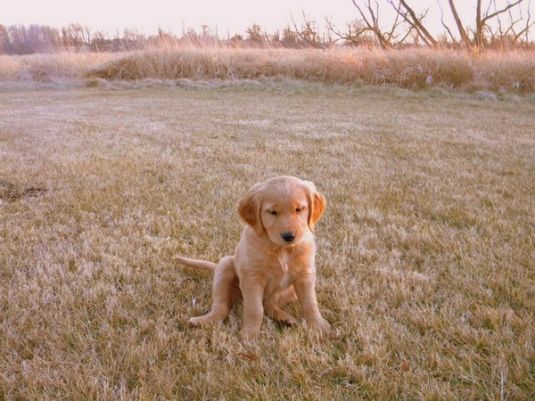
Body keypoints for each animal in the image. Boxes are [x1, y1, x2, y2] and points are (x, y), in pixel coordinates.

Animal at [178, 175, 330, 338]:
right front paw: (249, 333)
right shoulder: (252, 277)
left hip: (290, 292)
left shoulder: (305, 275)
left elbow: (310, 303)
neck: (281, 249)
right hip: (225, 266)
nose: (289, 236)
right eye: (272, 212)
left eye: (299, 209)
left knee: (269, 304)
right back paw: (202, 320)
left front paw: (319, 325)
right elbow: (255, 308)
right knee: (221, 307)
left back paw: (284, 317)